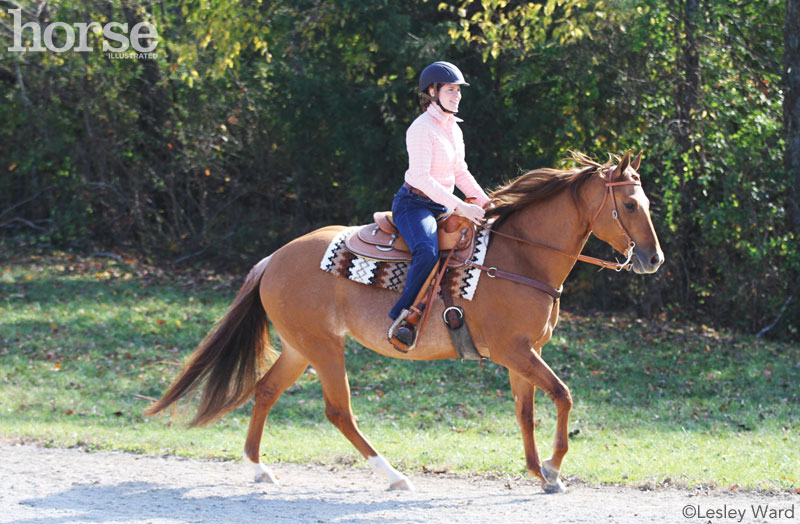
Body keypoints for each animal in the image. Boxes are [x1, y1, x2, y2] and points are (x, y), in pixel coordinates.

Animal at [144, 149, 664, 494]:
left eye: (646, 203)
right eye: (630, 205)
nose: (653, 259)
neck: (522, 258)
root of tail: (275, 258)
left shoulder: (523, 355)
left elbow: (525, 411)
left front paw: (540, 472)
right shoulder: (516, 351)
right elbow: (562, 395)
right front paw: (554, 468)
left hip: (299, 347)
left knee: (266, 391)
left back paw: (258, 468)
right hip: (324, 349)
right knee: (339, 411)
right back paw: (392, 475)